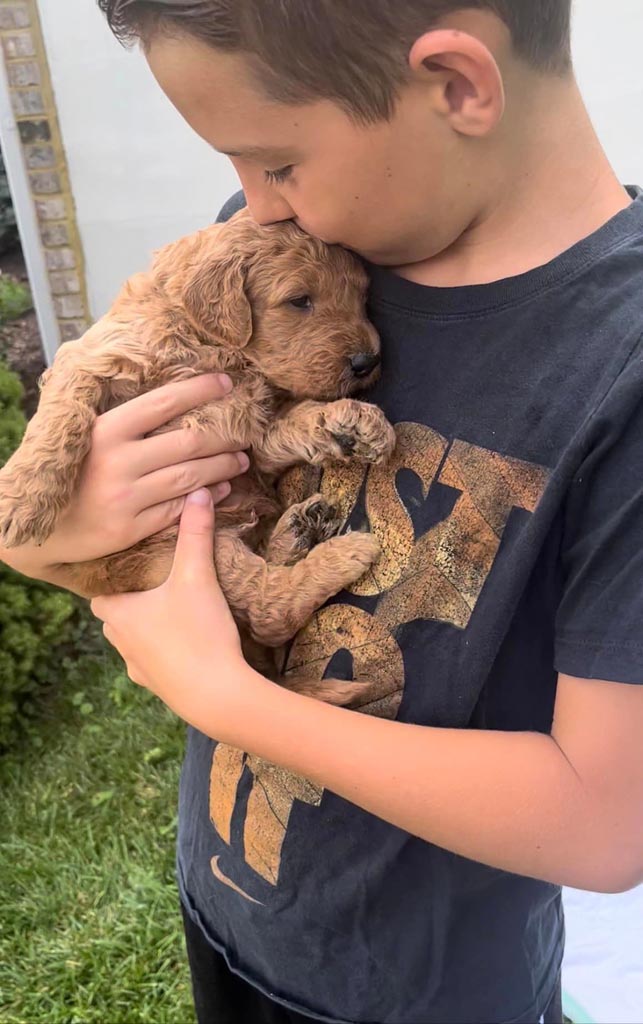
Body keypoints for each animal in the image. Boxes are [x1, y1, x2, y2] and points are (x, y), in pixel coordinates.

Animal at [0, 208, 395, 704]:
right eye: (300, 300)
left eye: (362, 296)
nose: (367, 361)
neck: (211, 346)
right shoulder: (96, 357)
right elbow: (61, 413)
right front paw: (22, 499)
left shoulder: (252, 434)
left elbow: (296, 421)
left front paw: (352, 423)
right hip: (182, 551)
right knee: (267, 610)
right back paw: (334, 547)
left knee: (268, 607)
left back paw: (302, 529)